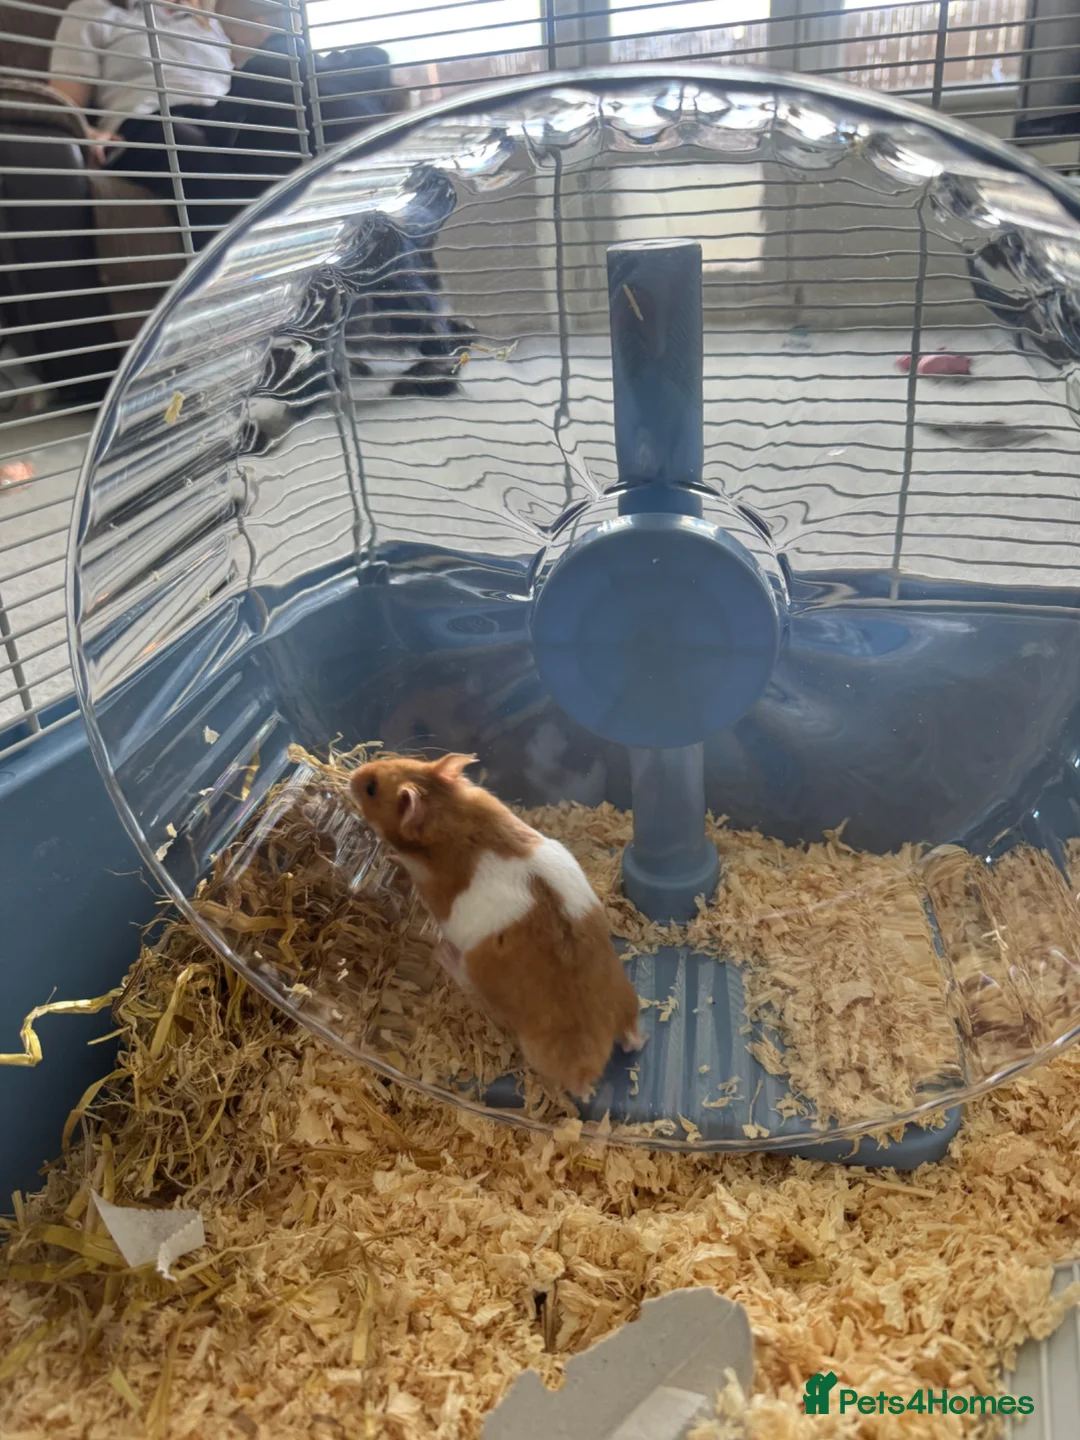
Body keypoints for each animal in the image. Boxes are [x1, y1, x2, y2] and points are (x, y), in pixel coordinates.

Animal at [349, 752, 643, 1098]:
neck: (448, 812)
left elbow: (403, 863)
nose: (354, 774)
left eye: (370, 788)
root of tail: (607, 1028)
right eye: (406, 759)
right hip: (626, 999)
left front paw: (390, 857)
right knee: (634, 1037)